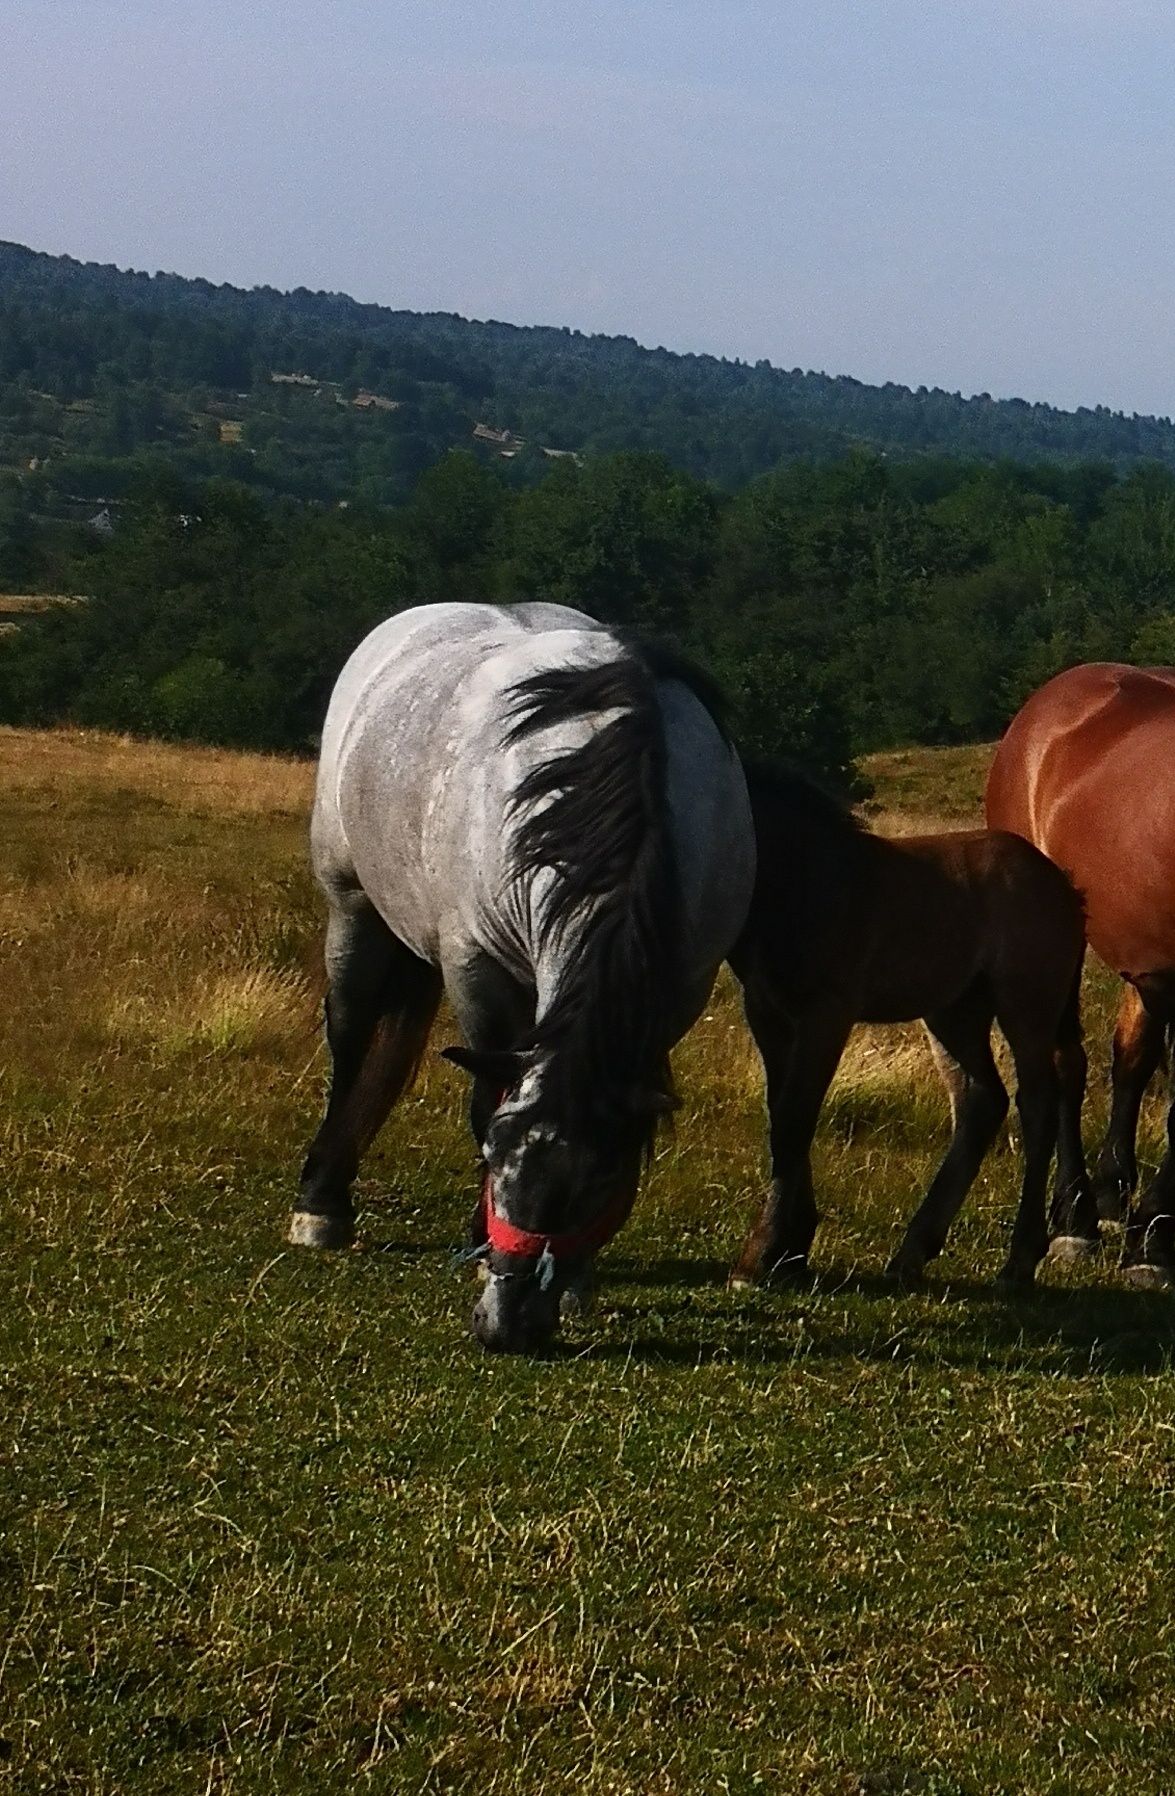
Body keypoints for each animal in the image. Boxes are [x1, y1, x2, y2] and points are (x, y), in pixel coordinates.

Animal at [289, 596, 758, 1350]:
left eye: (596, 1184)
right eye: (496, 1158)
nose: (507, 1326)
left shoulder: (679, 990)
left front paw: (580, 1280)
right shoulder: (476, 967)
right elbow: (484, 1095)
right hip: (352, 904)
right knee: (352, 1039)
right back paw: (321, 1203)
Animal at [733, 768, 1092, 1293]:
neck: (804, 880)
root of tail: (1065, 885)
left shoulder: (826, 1016)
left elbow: (795, 1121)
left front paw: (762, 1256)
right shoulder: (767, 1016)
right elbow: (780, 1117)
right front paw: (789, 1248)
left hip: (1027, 1007)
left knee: (1037, 1106)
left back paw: (1018, 1262)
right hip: (954, 1013)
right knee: (981, 1102)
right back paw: (912, 1252)